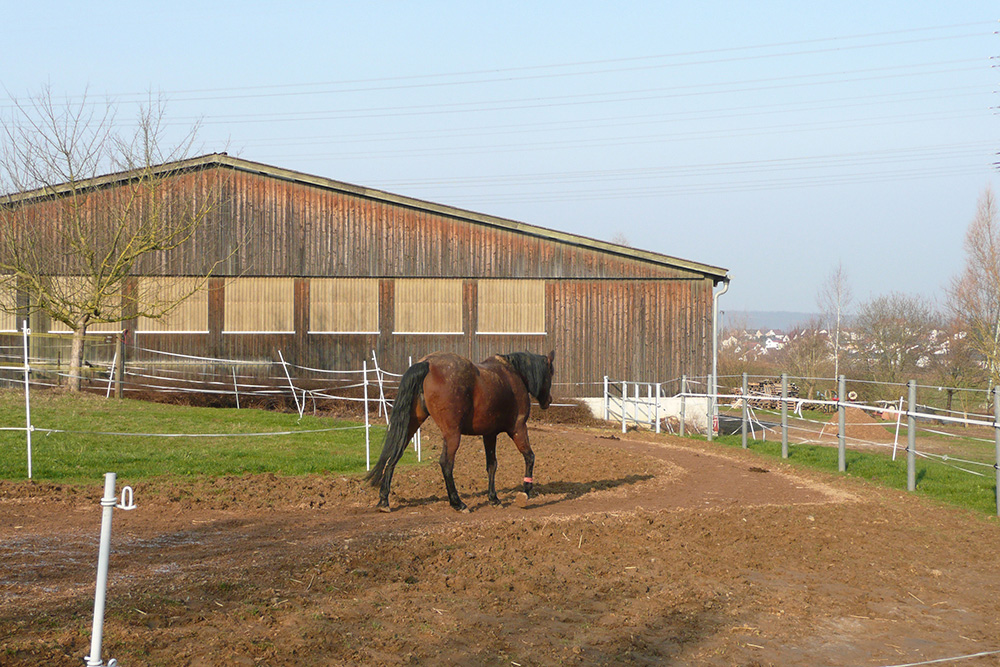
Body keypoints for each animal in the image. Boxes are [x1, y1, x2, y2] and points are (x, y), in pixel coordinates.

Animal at [366, 352, 556, 516]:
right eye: (550, 373)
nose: (549, 400)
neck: (512, 375)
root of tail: (427, 363)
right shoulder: (518, 428)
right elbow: (529, 456)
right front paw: (526, 492)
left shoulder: (489, 434)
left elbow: (492, 465)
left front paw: (494, 498)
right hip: (452, 434)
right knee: (446, 464)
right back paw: (457, 503)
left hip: (410, 425)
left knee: (394, 455)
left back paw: (384, 500)